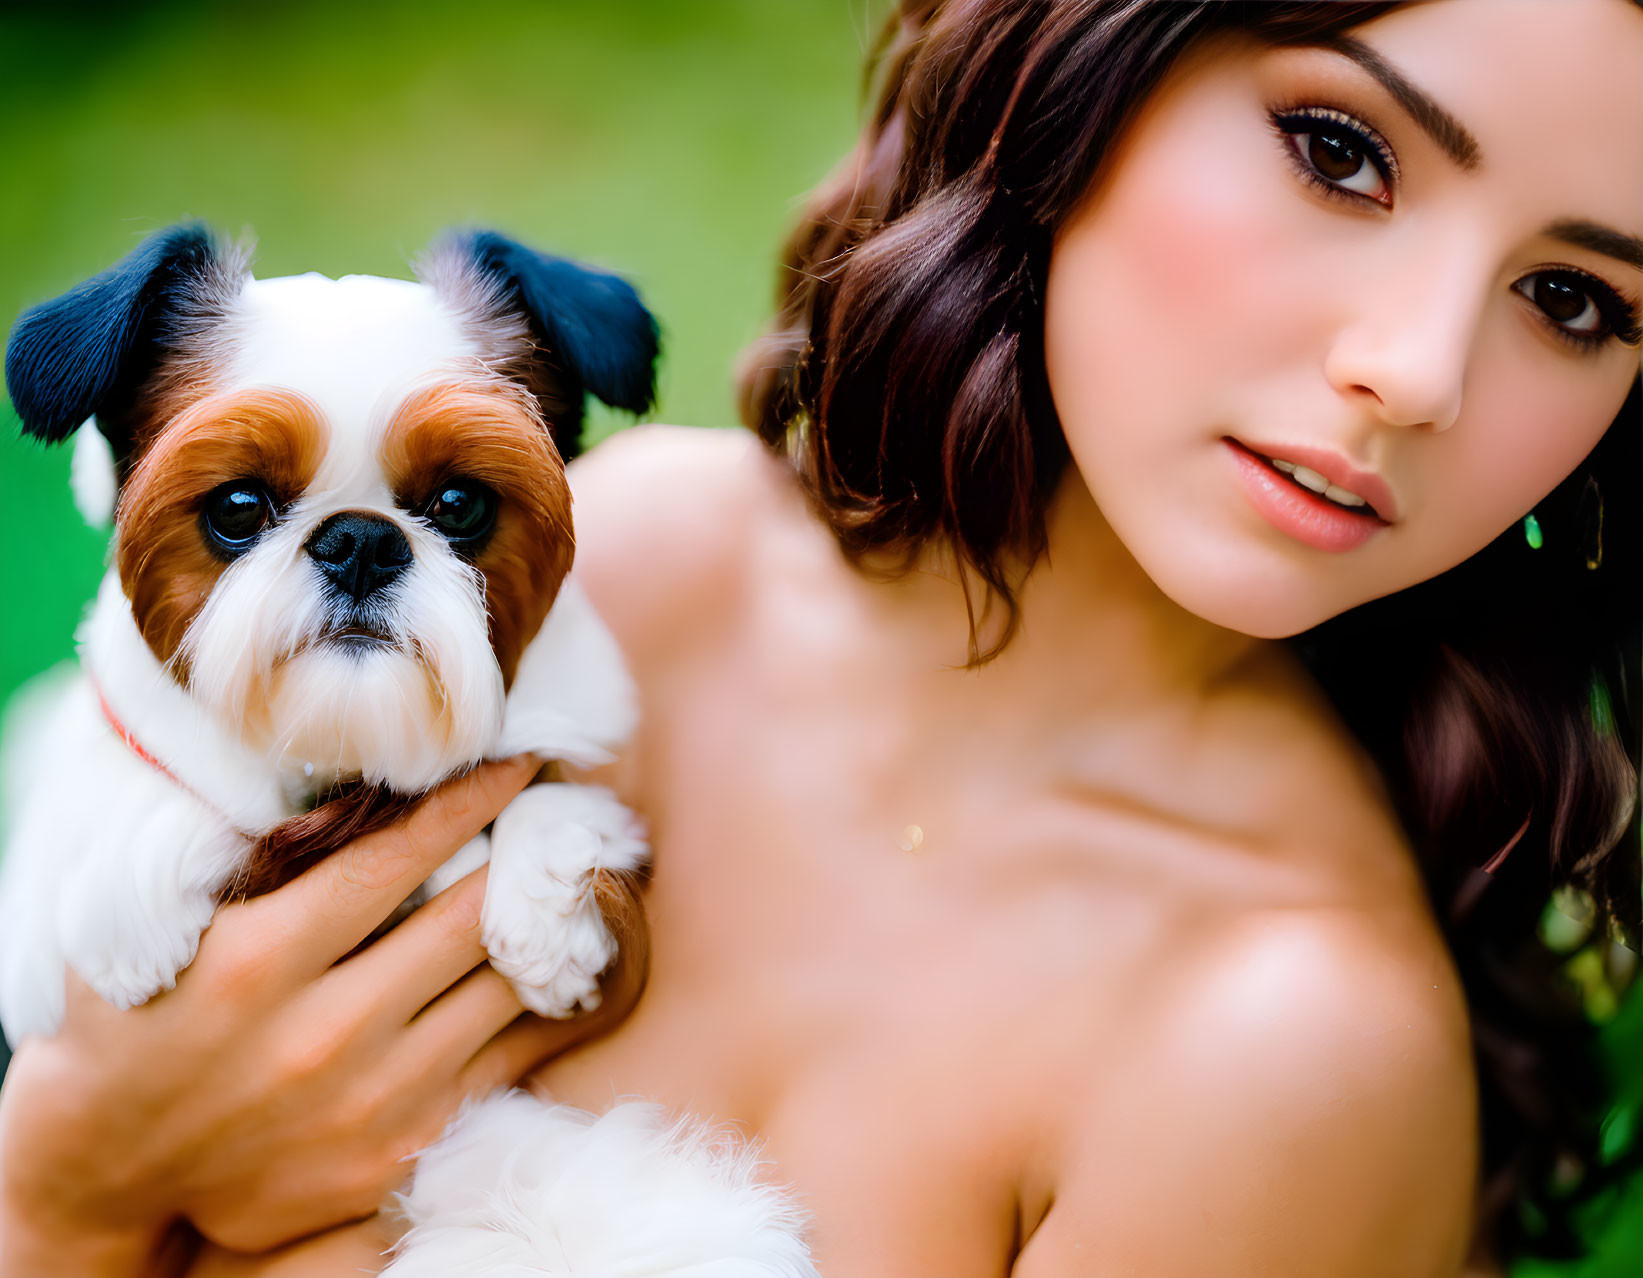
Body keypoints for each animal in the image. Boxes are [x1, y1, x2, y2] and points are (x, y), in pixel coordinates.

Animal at [3, 223, 811, 1268]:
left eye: (460, 504)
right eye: (238, 507)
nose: (358, 539)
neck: (346, 765)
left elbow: (548, 790)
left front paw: (545, 904)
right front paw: (131, 888)